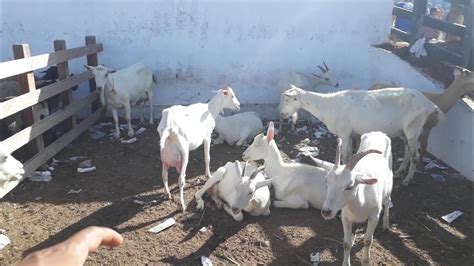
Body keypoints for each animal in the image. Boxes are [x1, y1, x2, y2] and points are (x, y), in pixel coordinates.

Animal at [280, 85, 442, 185]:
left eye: (288, 99)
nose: (282, 114)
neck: (328, 106)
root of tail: (431, 105)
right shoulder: (350, 134)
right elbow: (349, 154)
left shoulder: (345, 132)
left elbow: (345, 155)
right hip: (406, 131)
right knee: (408, 150)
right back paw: (399, 171)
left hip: (414, 128)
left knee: (415, 156)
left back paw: (407, 180)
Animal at [320, 133, 394, 266]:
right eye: (327, 181)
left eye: (349, 186)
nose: (326, 212)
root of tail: (378, 133)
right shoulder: (345, 217)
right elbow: (346, 243)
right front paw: (346, 262)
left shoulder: (374, 217)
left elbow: (368, 241)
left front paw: (366, 261)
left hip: (389, 186)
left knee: (387, 201)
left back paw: (386, 224)